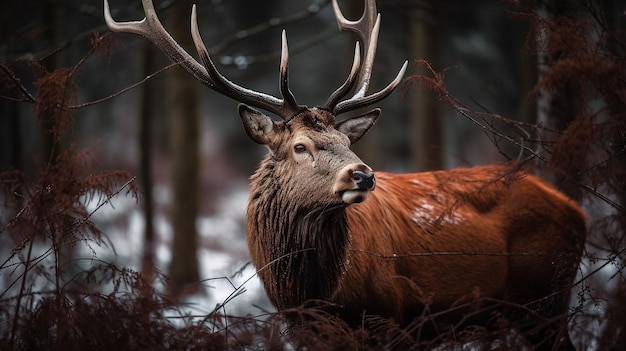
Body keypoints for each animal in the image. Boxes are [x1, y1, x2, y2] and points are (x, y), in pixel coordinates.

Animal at [103, 0, 584, 350]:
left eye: (346, 141)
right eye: (300, 146)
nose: (364, 176)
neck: (317, 294)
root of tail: (576, 211)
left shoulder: (392, 321)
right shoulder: (304, 331)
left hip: (545, 300)